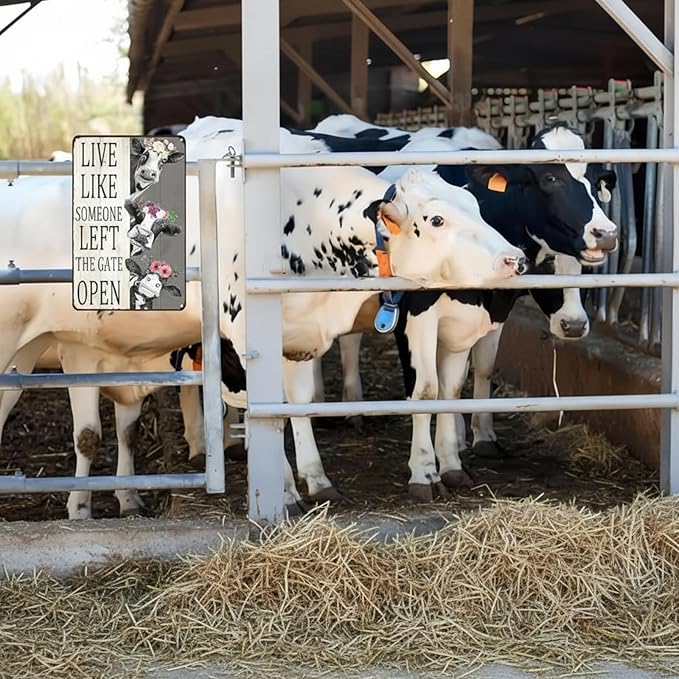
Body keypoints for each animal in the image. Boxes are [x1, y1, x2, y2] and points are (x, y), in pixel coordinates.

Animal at [0, 118, 527, 517]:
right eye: (436, 219)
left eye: (477, 205)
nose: (515, 258)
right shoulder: (244, 334)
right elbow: (268, 410)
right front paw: (286, 491)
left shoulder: (296, 331)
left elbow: (299, 404)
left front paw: (316, 480)